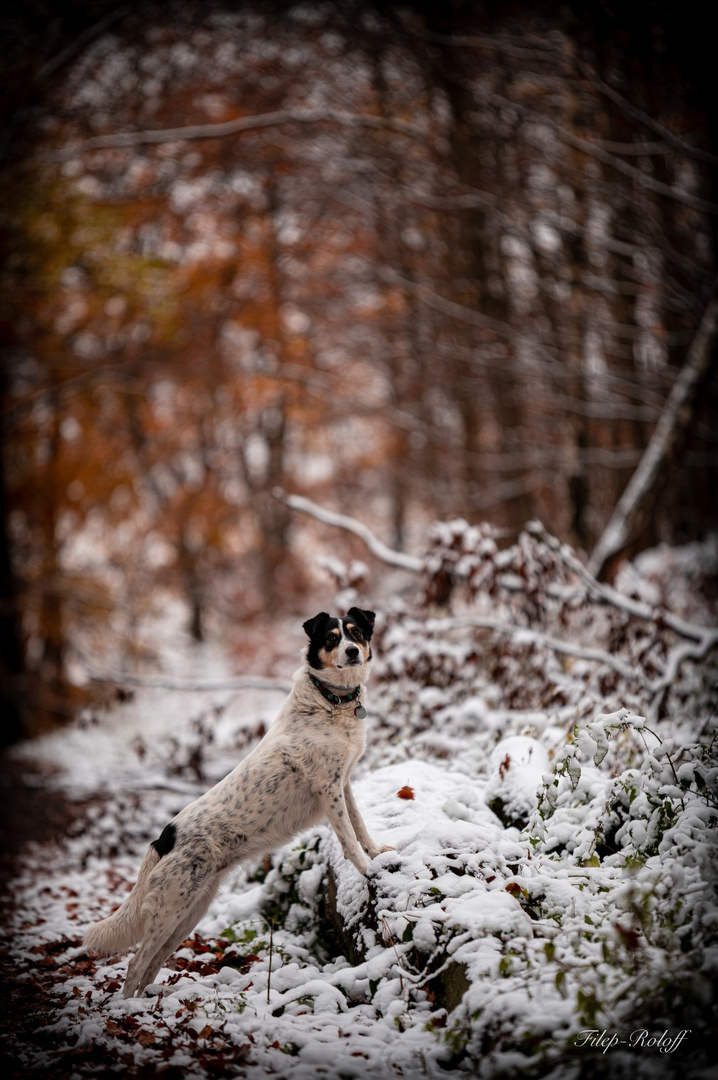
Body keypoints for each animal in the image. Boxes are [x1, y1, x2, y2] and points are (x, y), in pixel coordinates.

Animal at [84, 609, 393, 993]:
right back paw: (128, 1007)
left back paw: (146, 1002)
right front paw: (367, 870)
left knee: (152, 965)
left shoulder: (344, 783)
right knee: (135, 965)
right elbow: (348, 839)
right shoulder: (328, 787)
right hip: (170, 910)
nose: (352, 652)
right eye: (331, 639)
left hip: (189, 913)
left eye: (356, 633)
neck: (330, 701)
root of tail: (164, 837)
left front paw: (377, 853)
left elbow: (360, 825)